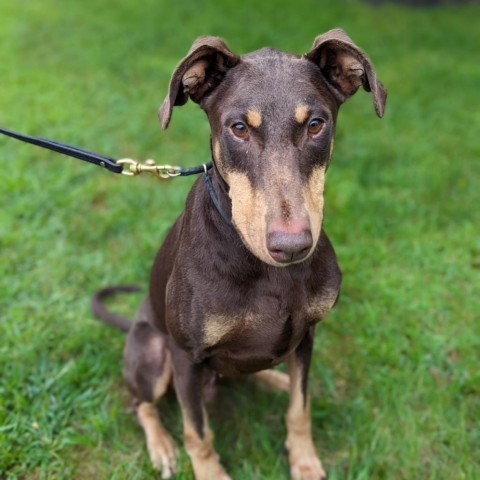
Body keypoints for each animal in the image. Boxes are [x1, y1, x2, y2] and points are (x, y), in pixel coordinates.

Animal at [93, 29, 386, 480]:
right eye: (239, 128)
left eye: (316, 124)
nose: (291, 247)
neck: (266, 272)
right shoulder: (185, 356)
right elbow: (197, 433)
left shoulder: (307, 334)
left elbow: (299, 409)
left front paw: (304, 461)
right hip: (154, 350)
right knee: (142, 403)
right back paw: (161, 445)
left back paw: (276, 380)